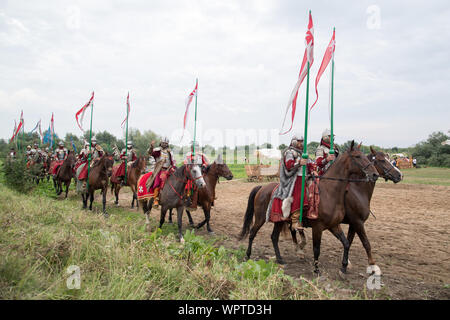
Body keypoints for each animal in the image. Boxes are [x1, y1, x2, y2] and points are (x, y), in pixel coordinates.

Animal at [239, 142, 380, 276]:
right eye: (357, 156)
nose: (375, 174)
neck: (329, 192)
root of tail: (262, 187)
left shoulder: (334, 225)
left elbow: (346, 243)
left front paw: (343, 268)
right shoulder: (319, 227)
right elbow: (317, 249)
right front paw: (316, 270)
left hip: (279, 220)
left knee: (274, 237)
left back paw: (280, 259)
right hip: (260, 218)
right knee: (252, 233)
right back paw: (247, 255)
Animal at [342, 147, 402, 276]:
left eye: (389, 158)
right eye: (382, 160)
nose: (400, 175)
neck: (357, 190)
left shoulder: (353, 224)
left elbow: (349, 241)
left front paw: (346, 263)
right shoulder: (358, 222)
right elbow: (366, 243)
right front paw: (373, 266)